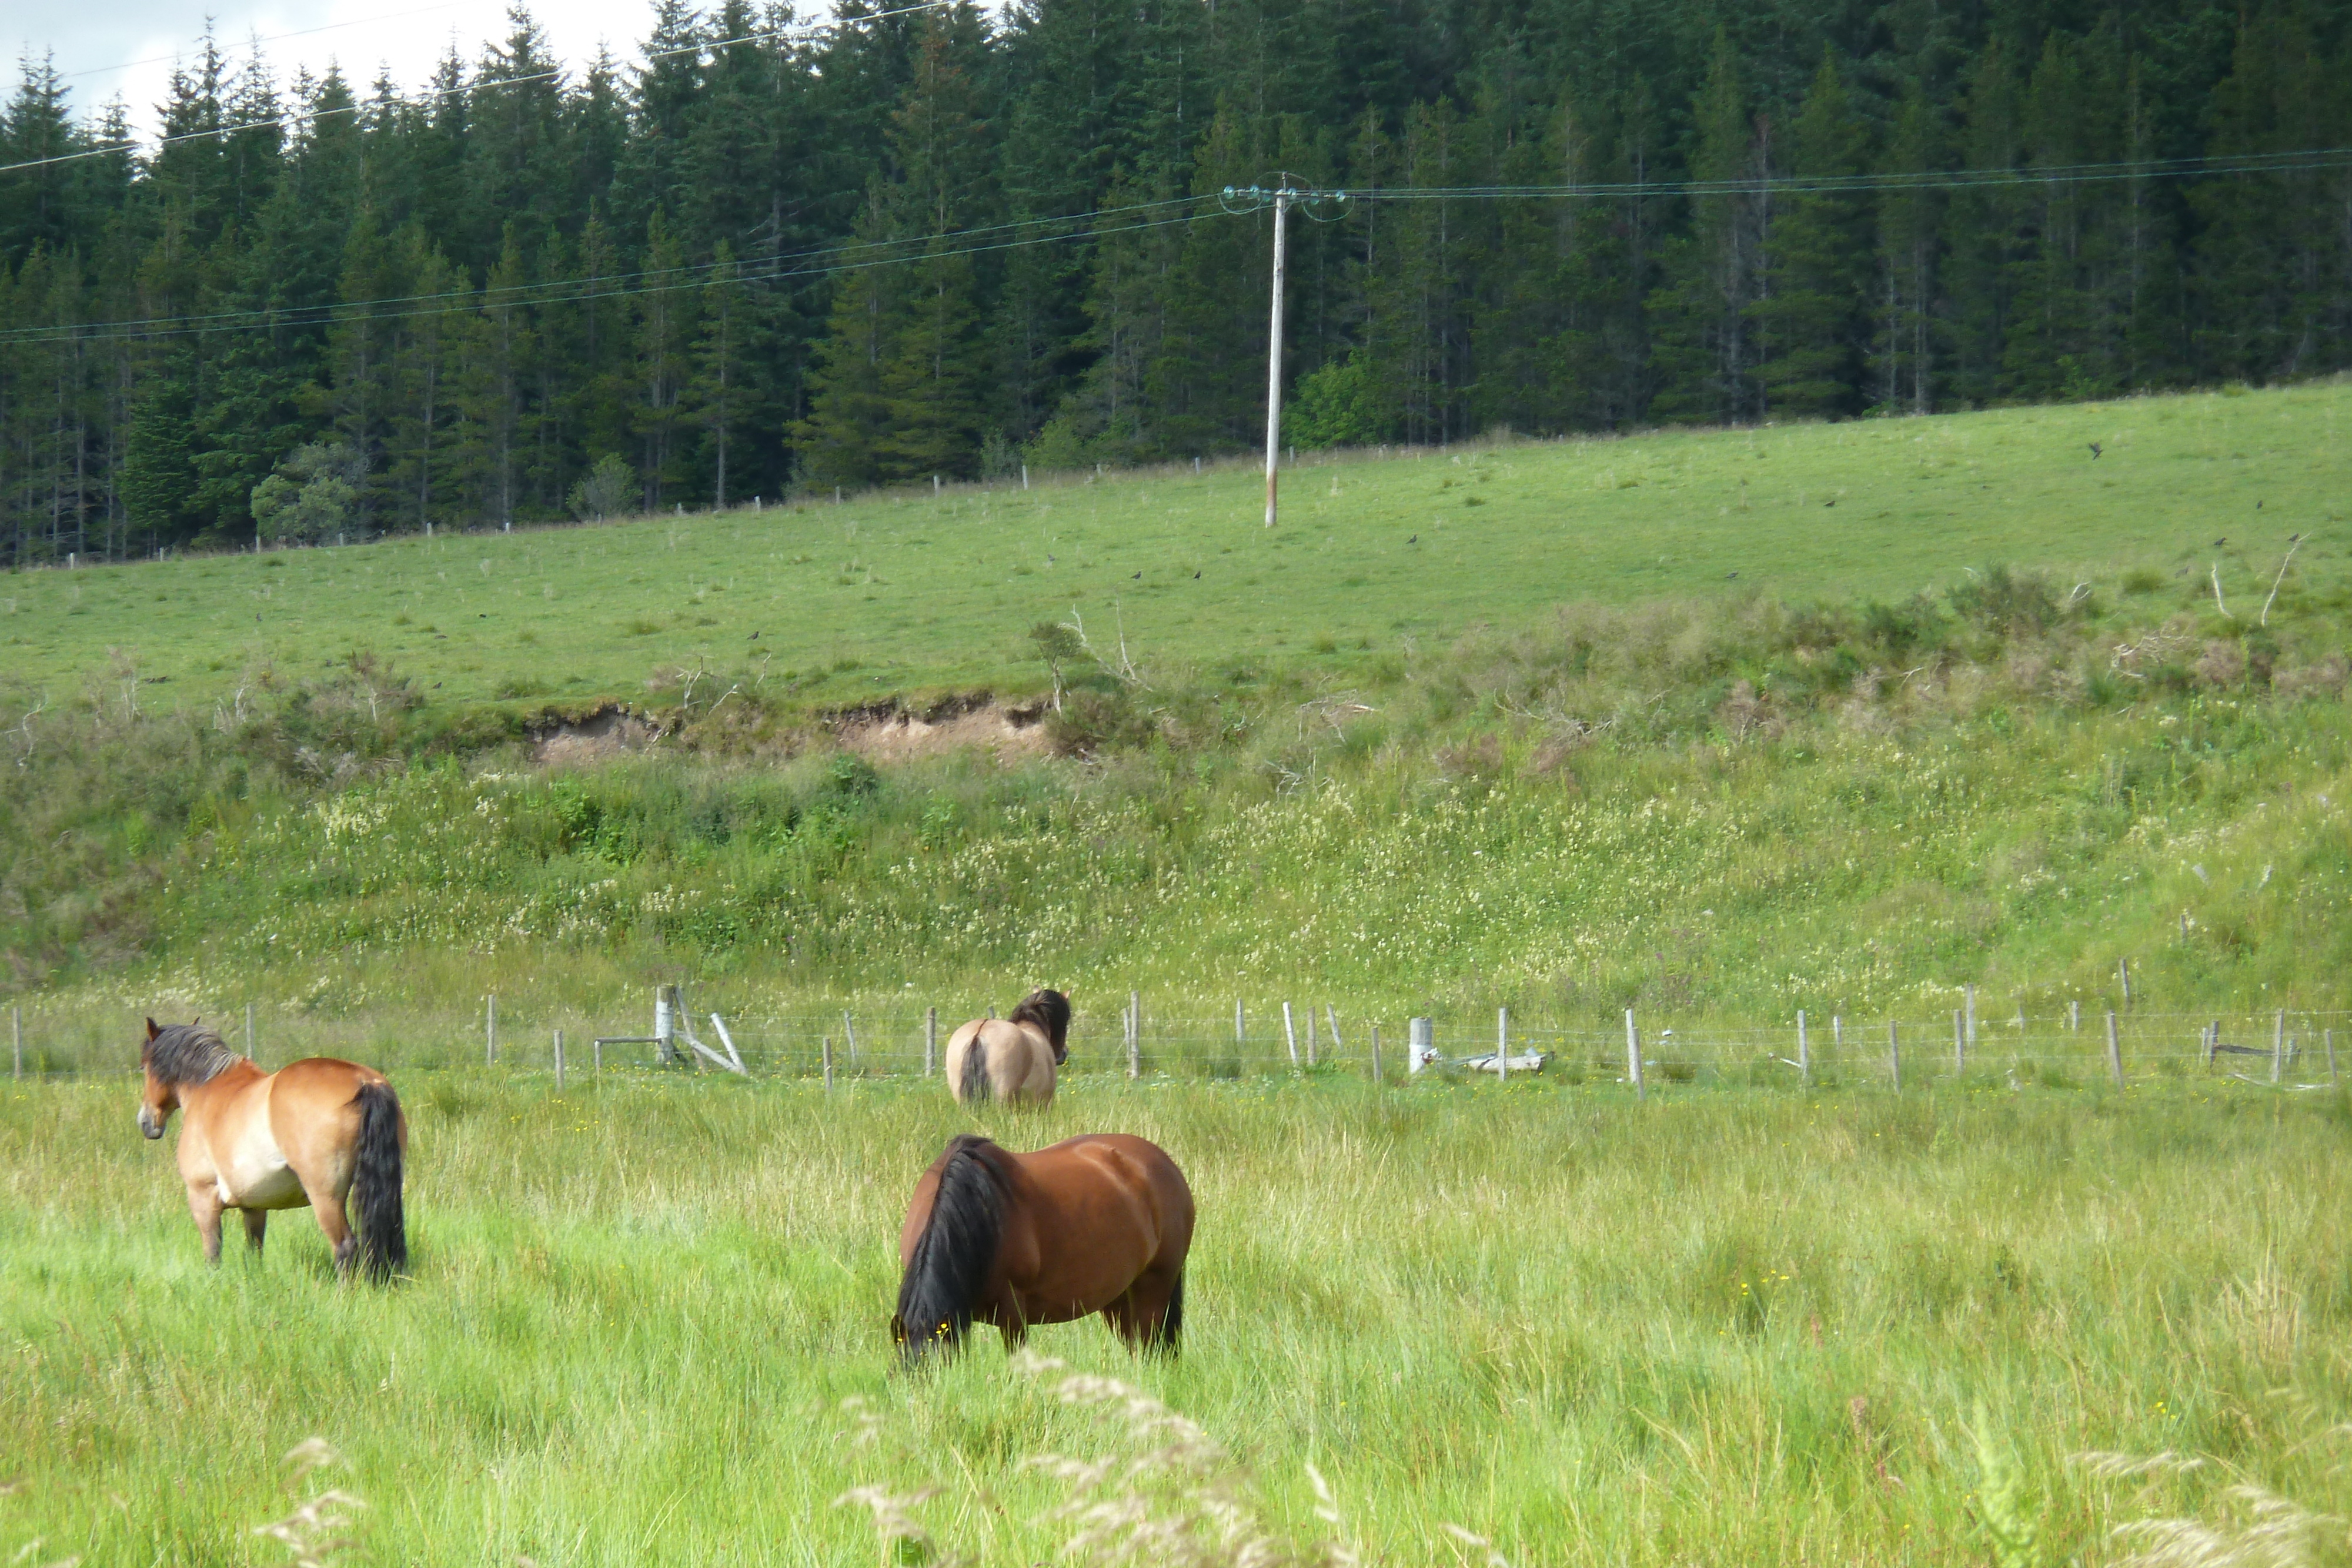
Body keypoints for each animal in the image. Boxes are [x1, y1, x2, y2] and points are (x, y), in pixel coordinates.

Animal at [138, 1020, 407, 1288]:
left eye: (143, 1067)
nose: (145, 1122)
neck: (208, 1088)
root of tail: (365, 1081)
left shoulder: (202, 1198)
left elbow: (213, 1254)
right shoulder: (254, 1207)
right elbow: (254, 1252)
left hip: (326, 1198)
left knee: (345, 1246)